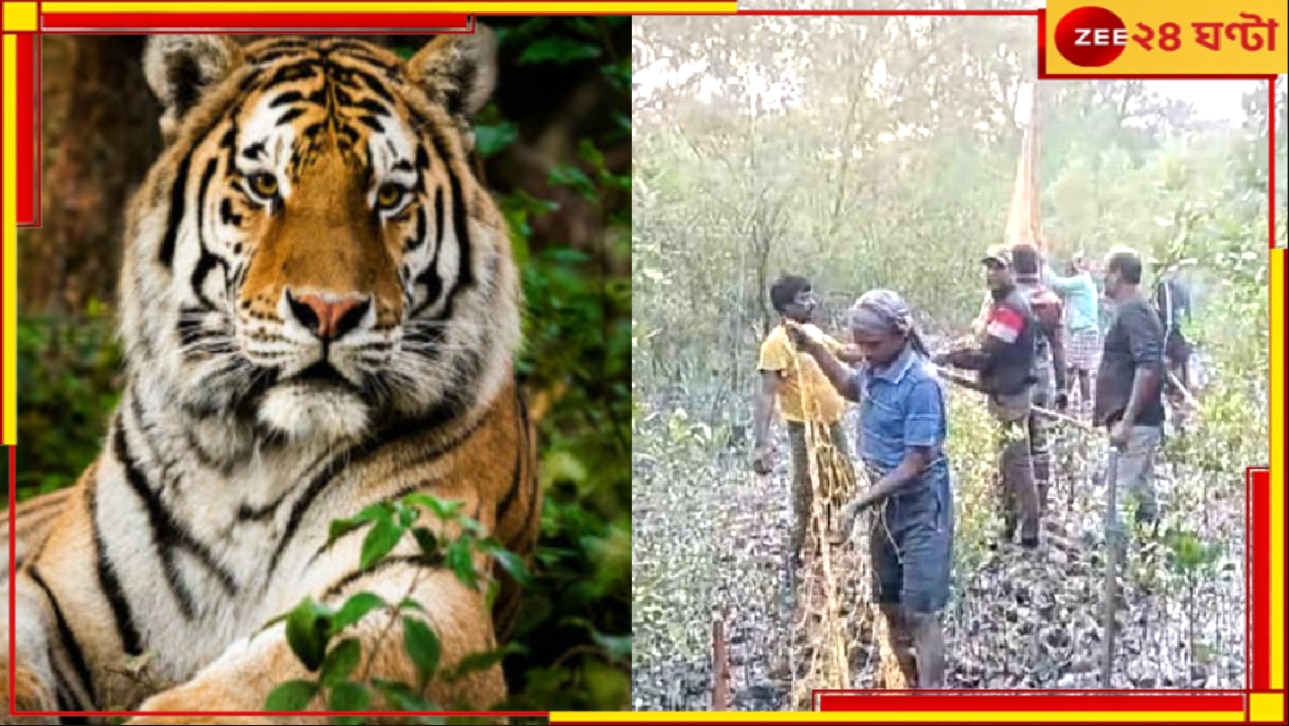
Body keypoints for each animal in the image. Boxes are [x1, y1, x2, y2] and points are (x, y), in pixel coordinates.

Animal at [3, 29, 538, 726]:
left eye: (389, 196)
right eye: (263, 185)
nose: (329, 311)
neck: (247, 464)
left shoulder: (420, 592)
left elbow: (278, 684)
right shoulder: (52, 593)